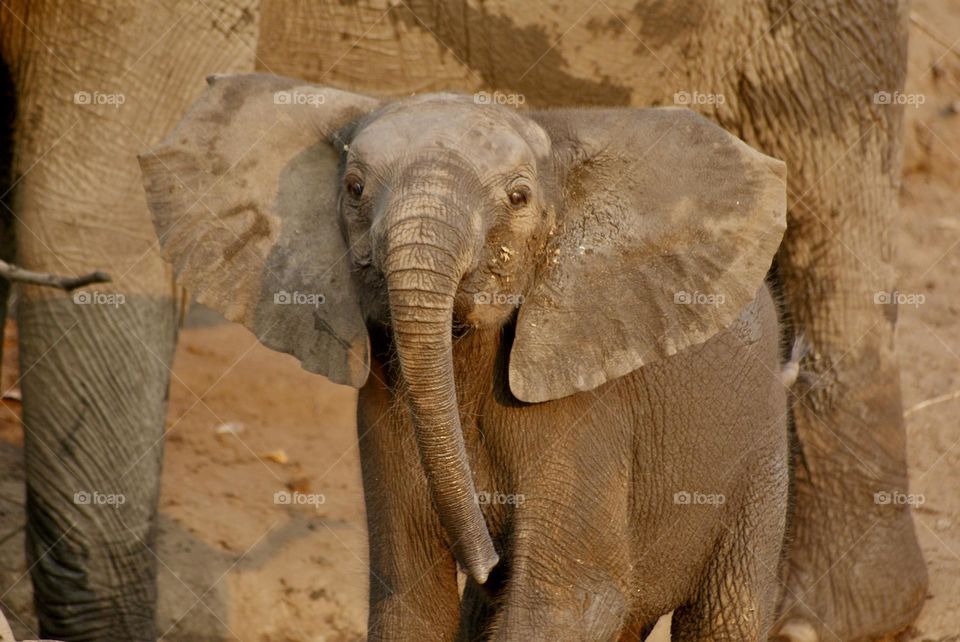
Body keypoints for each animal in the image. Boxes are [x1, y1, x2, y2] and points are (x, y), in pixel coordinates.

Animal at [141, 72, 788, 636]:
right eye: (353, 189)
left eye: (519, 196)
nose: (487, 558)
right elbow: (411, 601)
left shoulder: (590, 407)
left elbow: (565, 602)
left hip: (760, 455)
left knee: (725, 612)